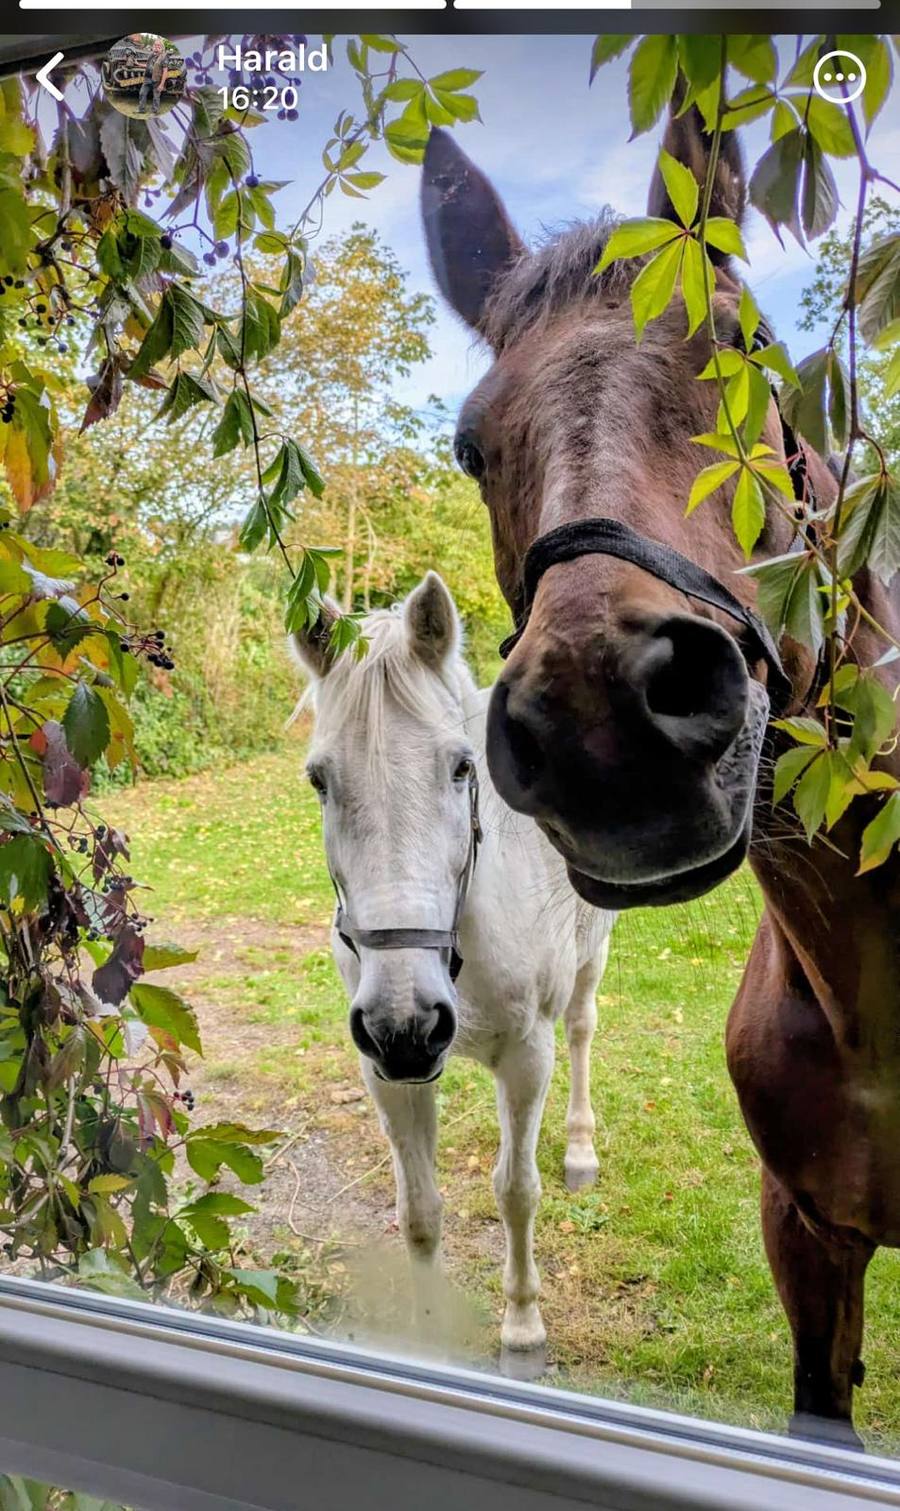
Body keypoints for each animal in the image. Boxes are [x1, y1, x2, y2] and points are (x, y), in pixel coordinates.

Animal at [292, 572, 614, 1376]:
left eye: (461, 765)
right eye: (319, 780)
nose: (407, 1023)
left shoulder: (526, 1057)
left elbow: (516, 1191)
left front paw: (523, 1328)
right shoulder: (385, 1069)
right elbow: (420, 1211)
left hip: (591, 955)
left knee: (584, 1028)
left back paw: (581, 1150)